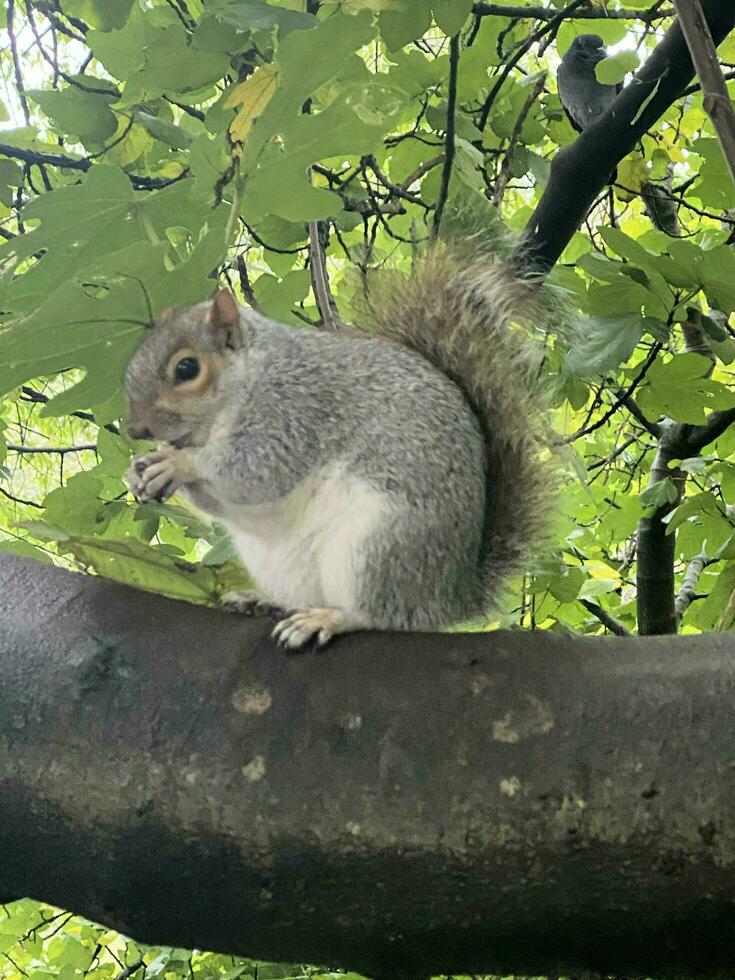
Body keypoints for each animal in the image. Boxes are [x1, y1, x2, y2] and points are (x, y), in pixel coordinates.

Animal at [123, 247, 548, 652]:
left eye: (187, 369)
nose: (134, 429)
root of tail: (453, 596)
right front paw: (139, 471)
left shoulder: (294, 410)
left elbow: (255, 470)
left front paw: (178, 464)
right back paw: (265, 601)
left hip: (377, 545)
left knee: (381, 614)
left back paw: (329, 618)